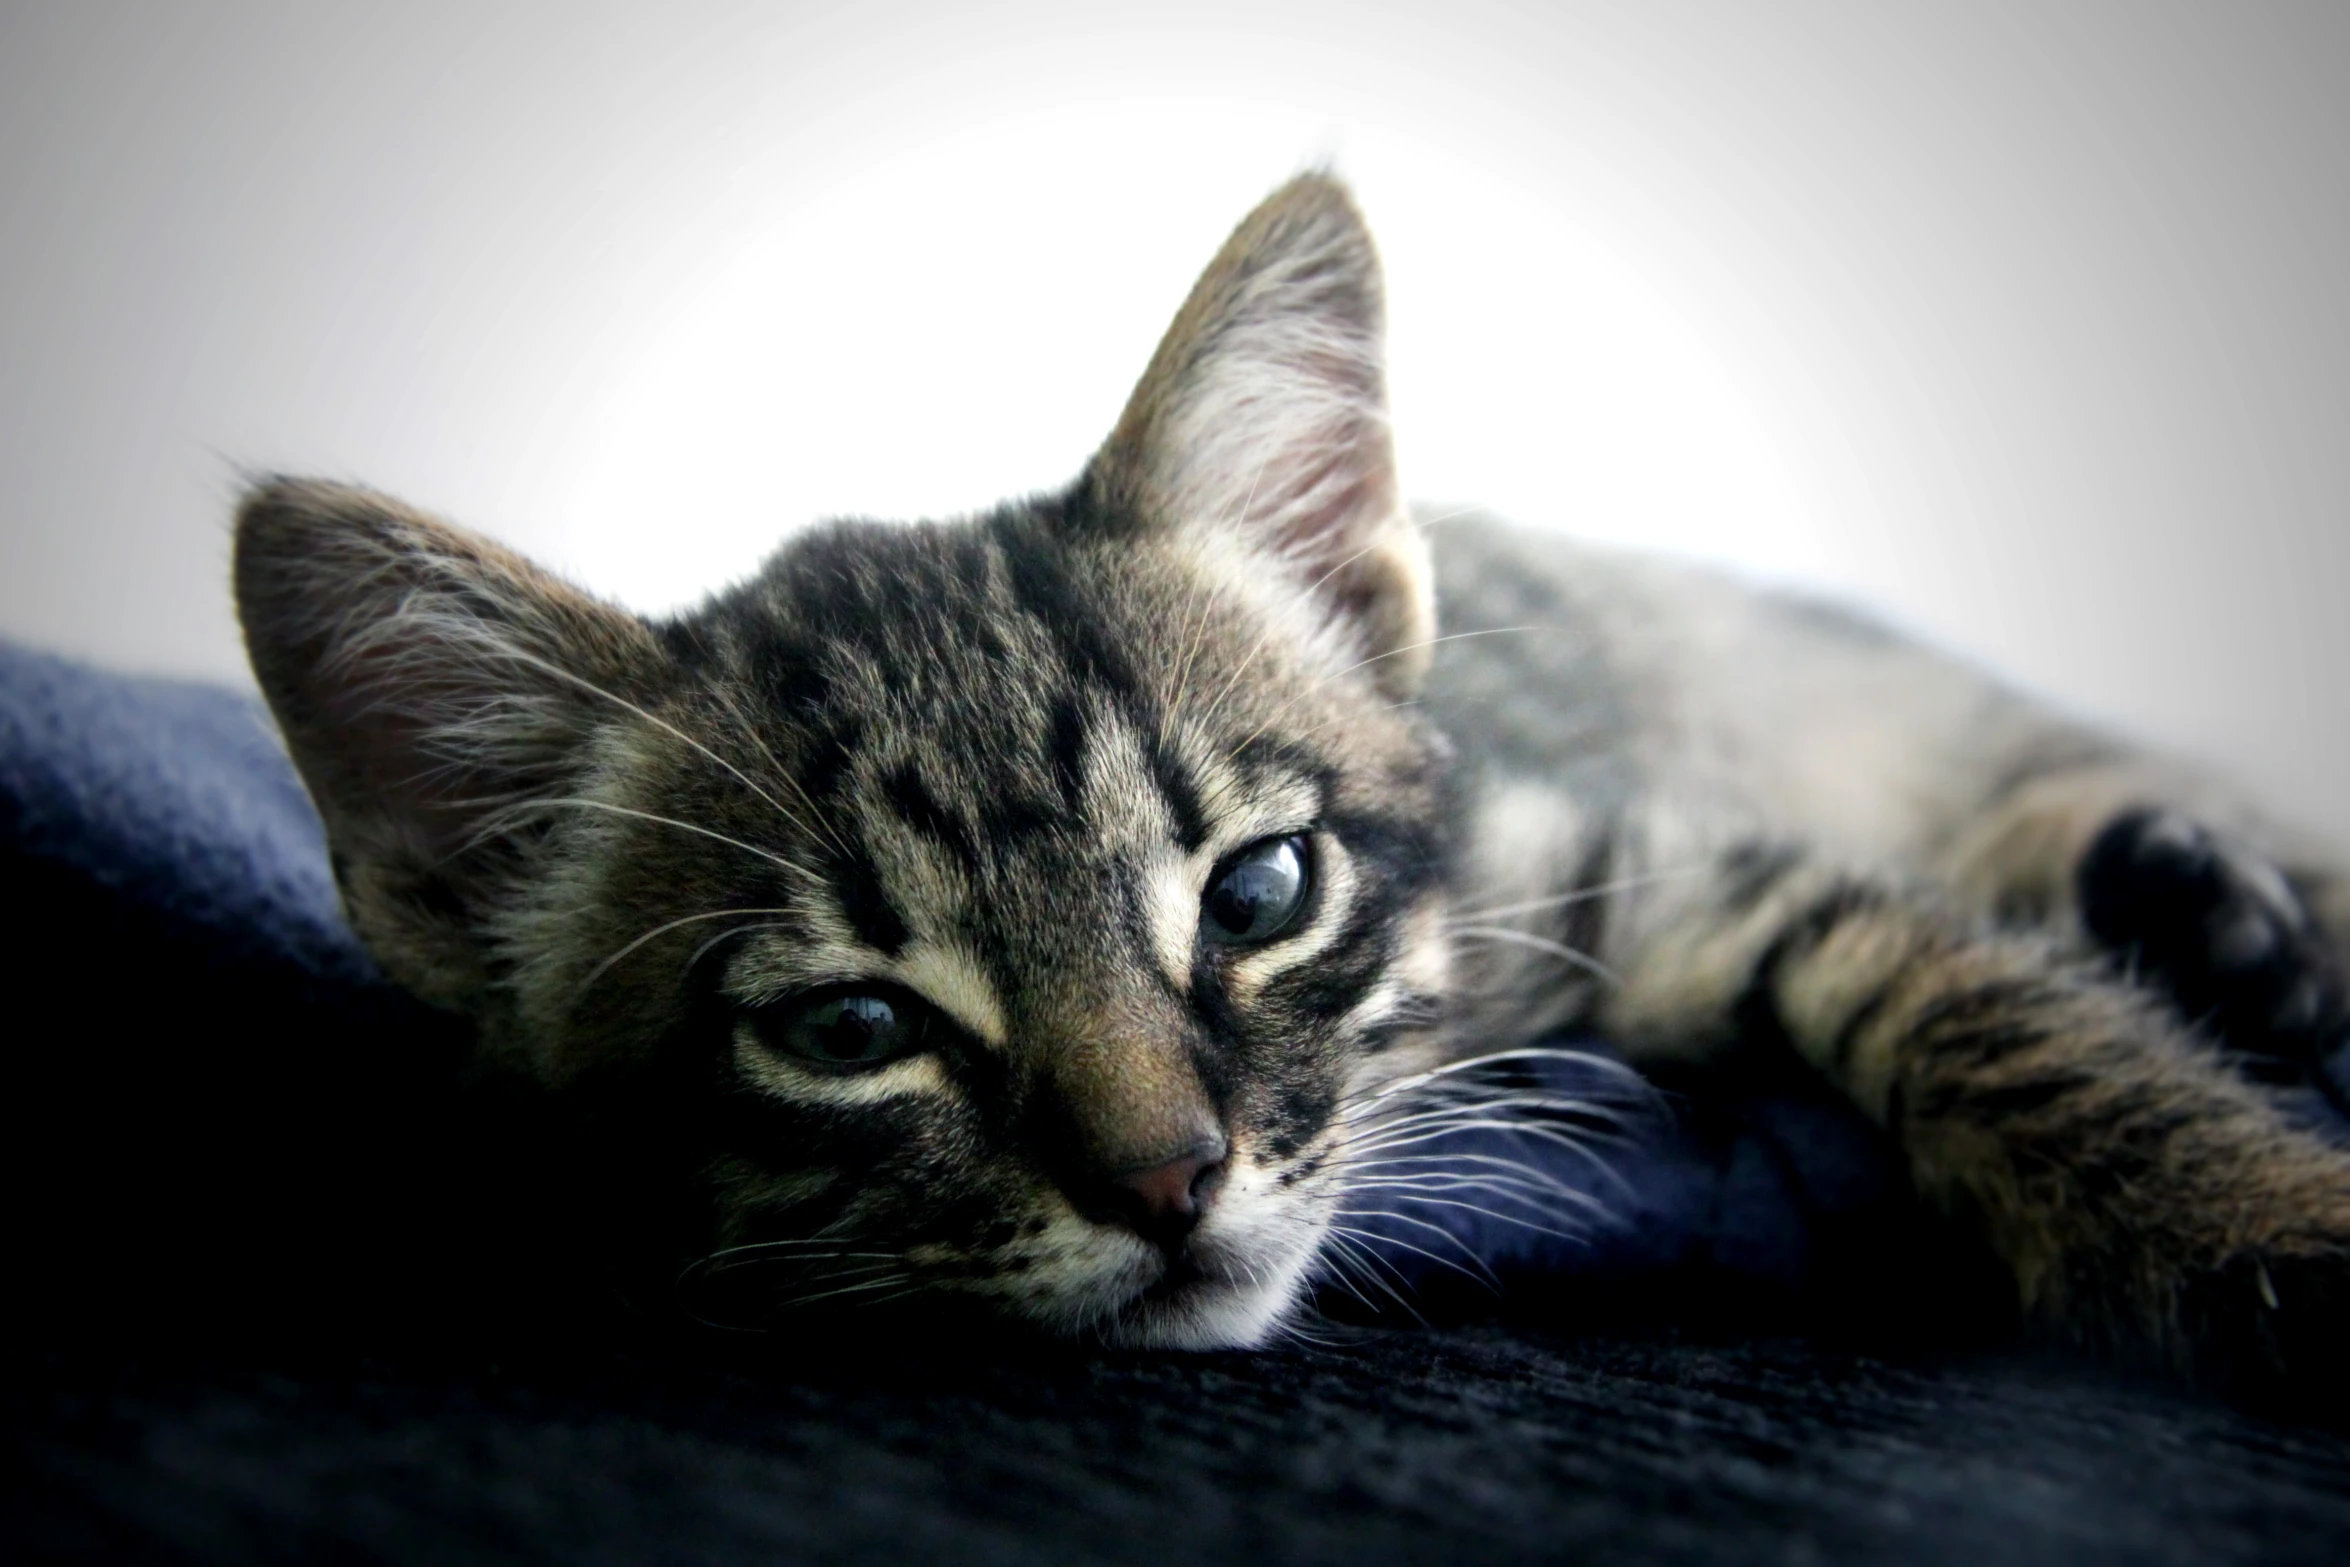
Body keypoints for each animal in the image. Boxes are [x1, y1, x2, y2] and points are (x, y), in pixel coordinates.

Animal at [233, 175, 2350, 1409]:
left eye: (1256, 894)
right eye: (851, 1028)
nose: (1169, 1183)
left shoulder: (1609, 856)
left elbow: (1990, 1010)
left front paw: (2268, 1213)